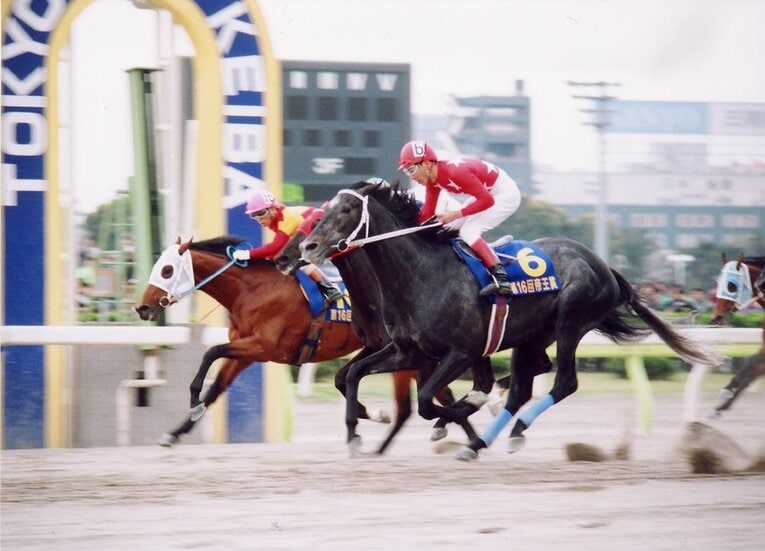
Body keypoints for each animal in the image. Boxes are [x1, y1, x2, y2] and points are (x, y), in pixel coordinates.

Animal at [135, 236, 409, 446]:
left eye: (167, 270)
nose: (142, 308)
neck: (251, 291)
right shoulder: (245, 354)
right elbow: (215, 390)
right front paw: (175, 432)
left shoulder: (261, 346)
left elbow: (210, 352)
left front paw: (193, 400)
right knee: (347, 377)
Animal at [274, 184, 495, 454]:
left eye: (316, 220)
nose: (283, 258)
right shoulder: (378, 345)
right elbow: (343, 377)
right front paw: (366, 417)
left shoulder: (423, 355)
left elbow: (433, 397)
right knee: (482, 382)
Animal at [298, 181, 719, 460]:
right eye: (323, 209)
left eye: (345, 210)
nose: (308, 246)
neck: (422, 275)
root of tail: (601, 263)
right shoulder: (408, 351)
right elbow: (354, 374)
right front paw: (355, 435)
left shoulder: (461, 352)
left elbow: (428, 401)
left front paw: (458, 414)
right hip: (531, 335)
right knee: (523, 387)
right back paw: (481, 440)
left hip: (570, 324)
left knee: (563, 382)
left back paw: (507, 429)